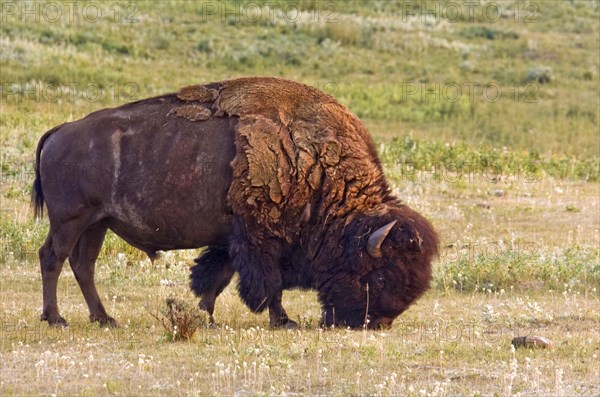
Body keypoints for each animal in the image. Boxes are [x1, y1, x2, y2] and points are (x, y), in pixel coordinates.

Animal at [31, 76, 436, 328]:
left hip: (96, 224)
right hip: (70, 221)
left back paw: (104, 318)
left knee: (83, 264)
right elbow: (269, 283)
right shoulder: (261, 240)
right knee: (53, 258)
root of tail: (61, 131)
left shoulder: (232, 238)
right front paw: (283, 321)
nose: (377, 323)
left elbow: (217, 277)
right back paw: (56, 318)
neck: (314, 163)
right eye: (380, 273)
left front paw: (205, 317)